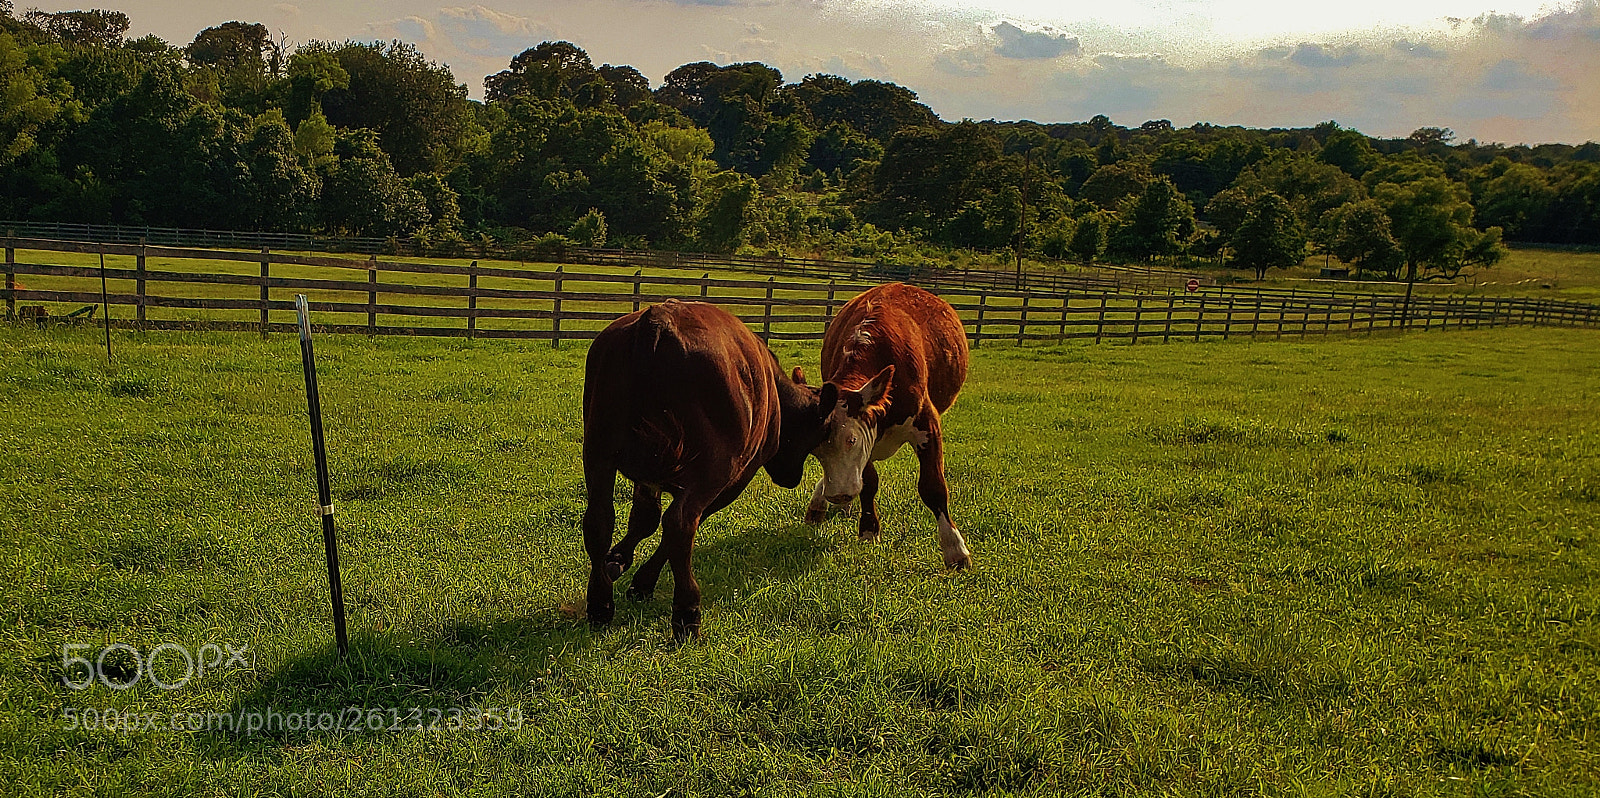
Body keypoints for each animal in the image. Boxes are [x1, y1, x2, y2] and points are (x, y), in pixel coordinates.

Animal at [581, 299, 834, 641]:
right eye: (821, 433)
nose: (792, 478)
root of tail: (658, 318)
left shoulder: (648, 479)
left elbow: (644, 520)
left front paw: (617, 560)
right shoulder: (734, 480)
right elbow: (673, 527)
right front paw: (641, 580)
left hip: (598, 452)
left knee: (599, 520)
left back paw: (600, 603)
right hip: (713, 467)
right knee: (679, 523)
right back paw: (687, 613)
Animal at [805, 282, 973, 570]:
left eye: (851, 440)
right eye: (815, 450)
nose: (838, 494)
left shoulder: (927, 423)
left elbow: (933, 486)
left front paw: (955, 549)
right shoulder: (868, 437)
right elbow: (868, 481)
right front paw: (868, 529)